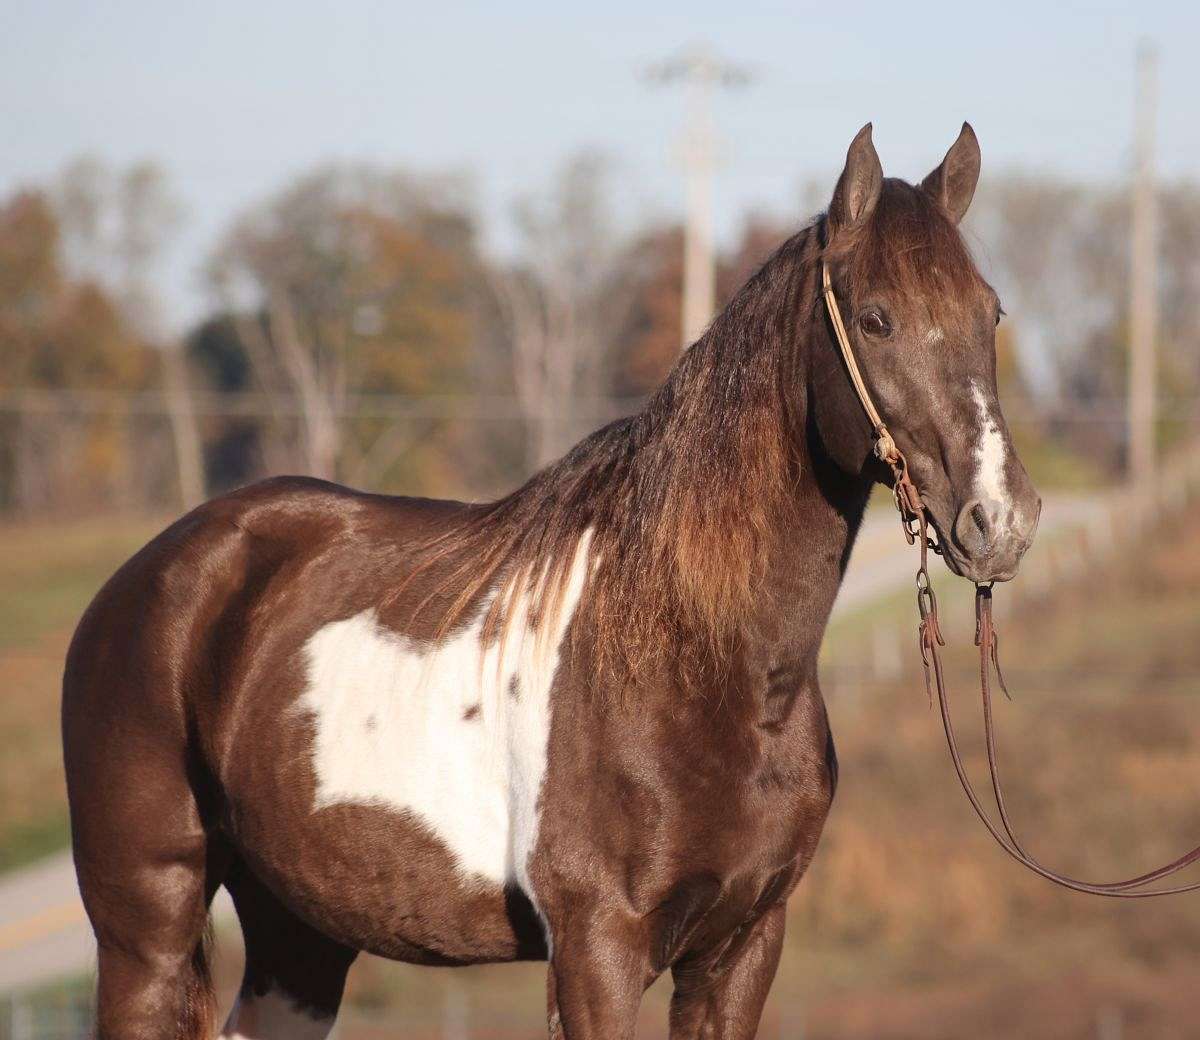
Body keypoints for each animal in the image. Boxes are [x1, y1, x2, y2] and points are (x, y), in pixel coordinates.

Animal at [62, 122, 1041, 1040]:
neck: (698, 661)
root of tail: (144, 580)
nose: (1001, 519)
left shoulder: (743, 946)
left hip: (299, 937)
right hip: (145, 931)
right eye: (875, 318)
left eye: (989, 313)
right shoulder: (598, 948)